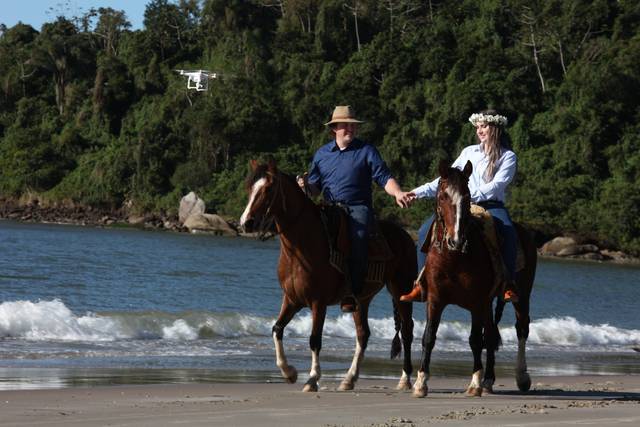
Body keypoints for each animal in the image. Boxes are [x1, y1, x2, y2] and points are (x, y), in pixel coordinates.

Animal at [239, 159, 416, 392]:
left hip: (400, 289)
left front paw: (312, 379)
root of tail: (406, 236)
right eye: (249, 188)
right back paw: (349, 379)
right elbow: (277, 329)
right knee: (363, 334)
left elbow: (314, 339)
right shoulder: (292, 299)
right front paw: (289, 372)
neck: (301, 247)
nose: (246, 222)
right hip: (362, 300)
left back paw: (405, 379)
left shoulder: (318, 302)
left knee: (406, 331)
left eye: (267, 189)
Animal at [410, 160, 536, 398]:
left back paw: (521, 377)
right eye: (442, 196)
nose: (456, 240)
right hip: (488, 303)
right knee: (492, 334)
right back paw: (489, 380)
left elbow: (476, 340)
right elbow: (429, 337)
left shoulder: (476, 302)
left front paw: (474, 383)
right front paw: (421, 383)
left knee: (521, 329)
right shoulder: (435, 300)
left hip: (522, 296)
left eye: (467, 197)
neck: (454, 258)